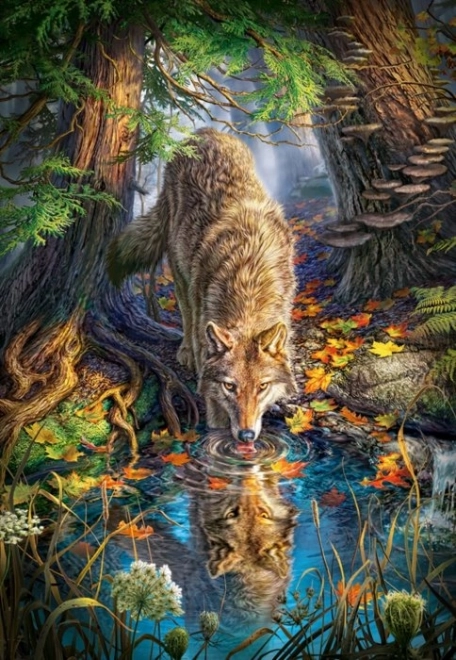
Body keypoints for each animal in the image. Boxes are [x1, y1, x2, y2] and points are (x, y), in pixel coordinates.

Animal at [108, 128, 296, 442]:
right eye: (230, 386)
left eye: (262, 387)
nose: (246, 435)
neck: (248, 279)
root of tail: (202, 132)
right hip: (180, 273)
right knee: (186, 315)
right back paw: (185, 351)